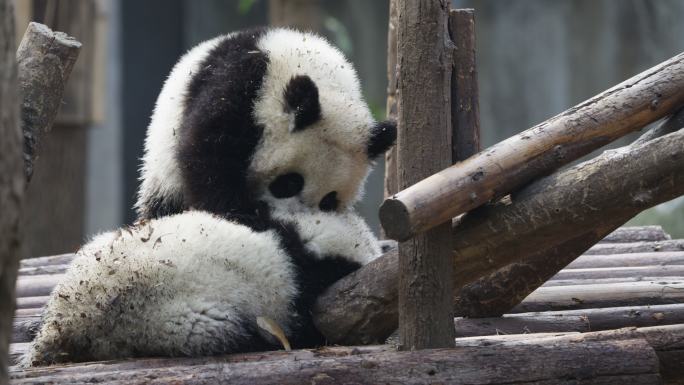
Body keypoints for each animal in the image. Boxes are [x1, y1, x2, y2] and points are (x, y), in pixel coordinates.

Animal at [21, 27, 398, 366]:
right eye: (288, 184)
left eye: (329, 200)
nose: (269, 213)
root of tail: (66, 324)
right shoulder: (239, 94)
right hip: (175, 316)